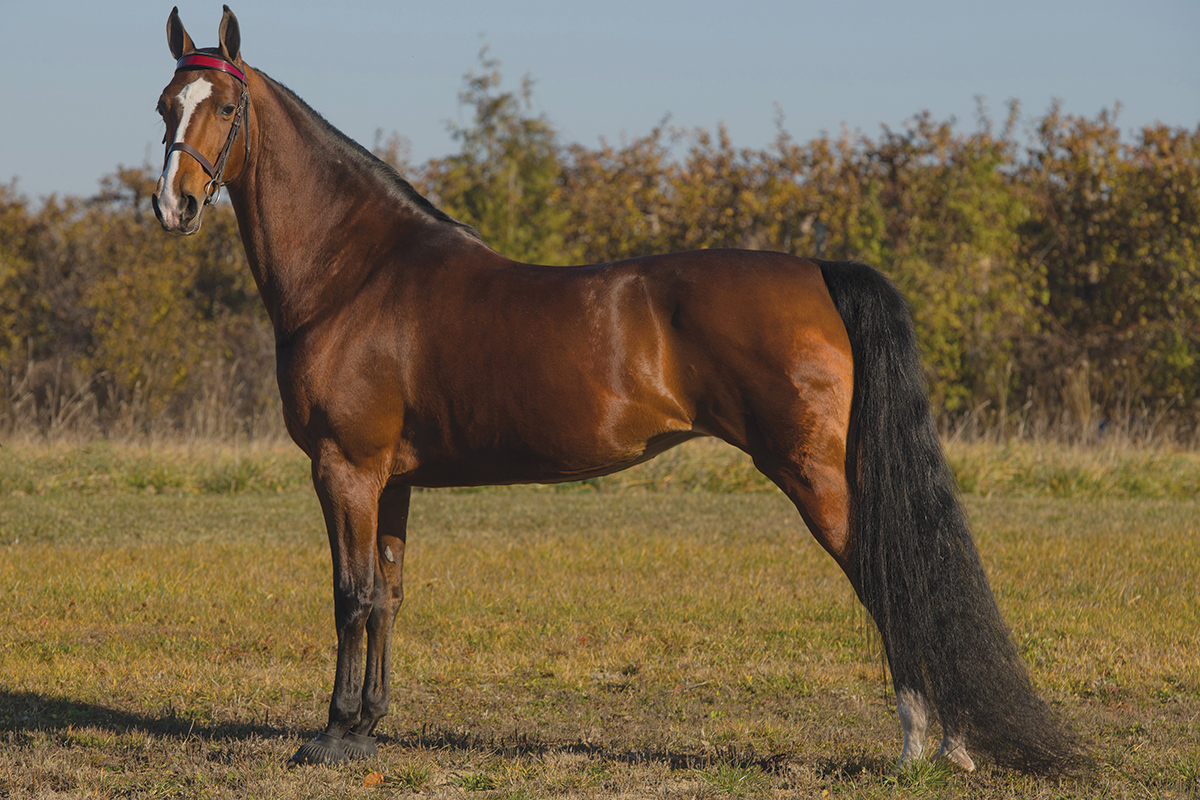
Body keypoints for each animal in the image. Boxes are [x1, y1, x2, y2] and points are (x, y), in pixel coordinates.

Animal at [154, 3, 1084, 772]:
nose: (173, 206)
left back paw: (927, 748)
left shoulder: (345, 468)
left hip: (819, 478)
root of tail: (818, 272)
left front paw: (332, 736)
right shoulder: (393, 480)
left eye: (225, 109)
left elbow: (349, 596)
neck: (357, 273)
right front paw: (368, 727)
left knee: (895, 584)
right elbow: (387, 597)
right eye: (165, 105)